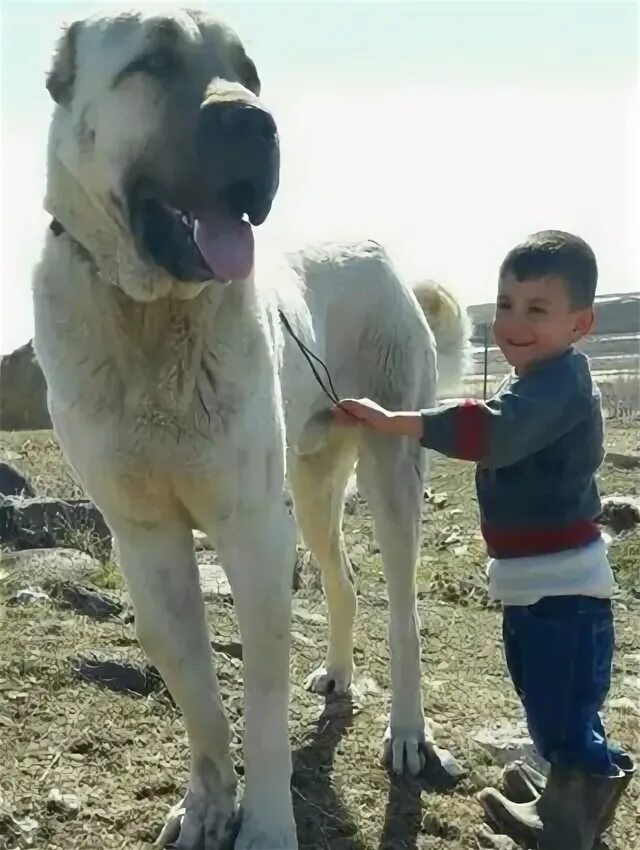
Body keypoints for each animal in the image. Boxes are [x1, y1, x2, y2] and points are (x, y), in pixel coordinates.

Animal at [32, 8, 468, 848]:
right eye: (155, 61)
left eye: (250, 73)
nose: (259, 123)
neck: (149, 319)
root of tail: (380, 251)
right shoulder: (147, 540)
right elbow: (197, 691)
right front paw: (207, 803)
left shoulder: (252, 532)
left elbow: (262, 710)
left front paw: (263, 825)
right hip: (312, 480)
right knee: (344, 577)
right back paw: (339, 674)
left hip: (388, 473)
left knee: (402, 613)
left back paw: (407, 732)